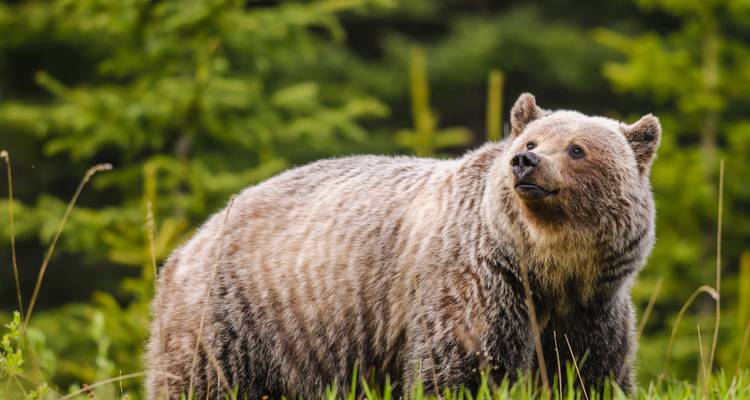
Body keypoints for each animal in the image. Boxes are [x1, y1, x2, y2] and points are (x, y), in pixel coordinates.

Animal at [145, 93, 660, 399]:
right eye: (534, 140)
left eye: (576, 149)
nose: (524, 162)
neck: (547, 267)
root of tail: (191, 240)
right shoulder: (477, 287)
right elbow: (455, 371)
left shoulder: (591, 311)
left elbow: (591, 374)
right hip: (236, 317)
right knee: (200, 382)